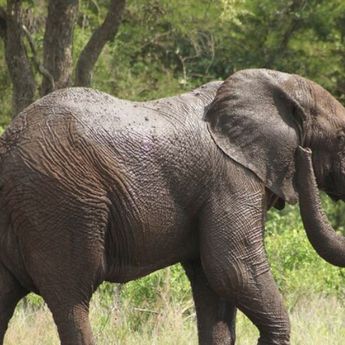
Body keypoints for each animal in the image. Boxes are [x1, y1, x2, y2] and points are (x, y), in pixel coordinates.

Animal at [0, 68, 342, 344]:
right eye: (341, 137)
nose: (304, 155)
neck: (279, 83)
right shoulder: (231, 179)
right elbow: (232, 267)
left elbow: (213, 284)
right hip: (60, 202)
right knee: (72, 300)